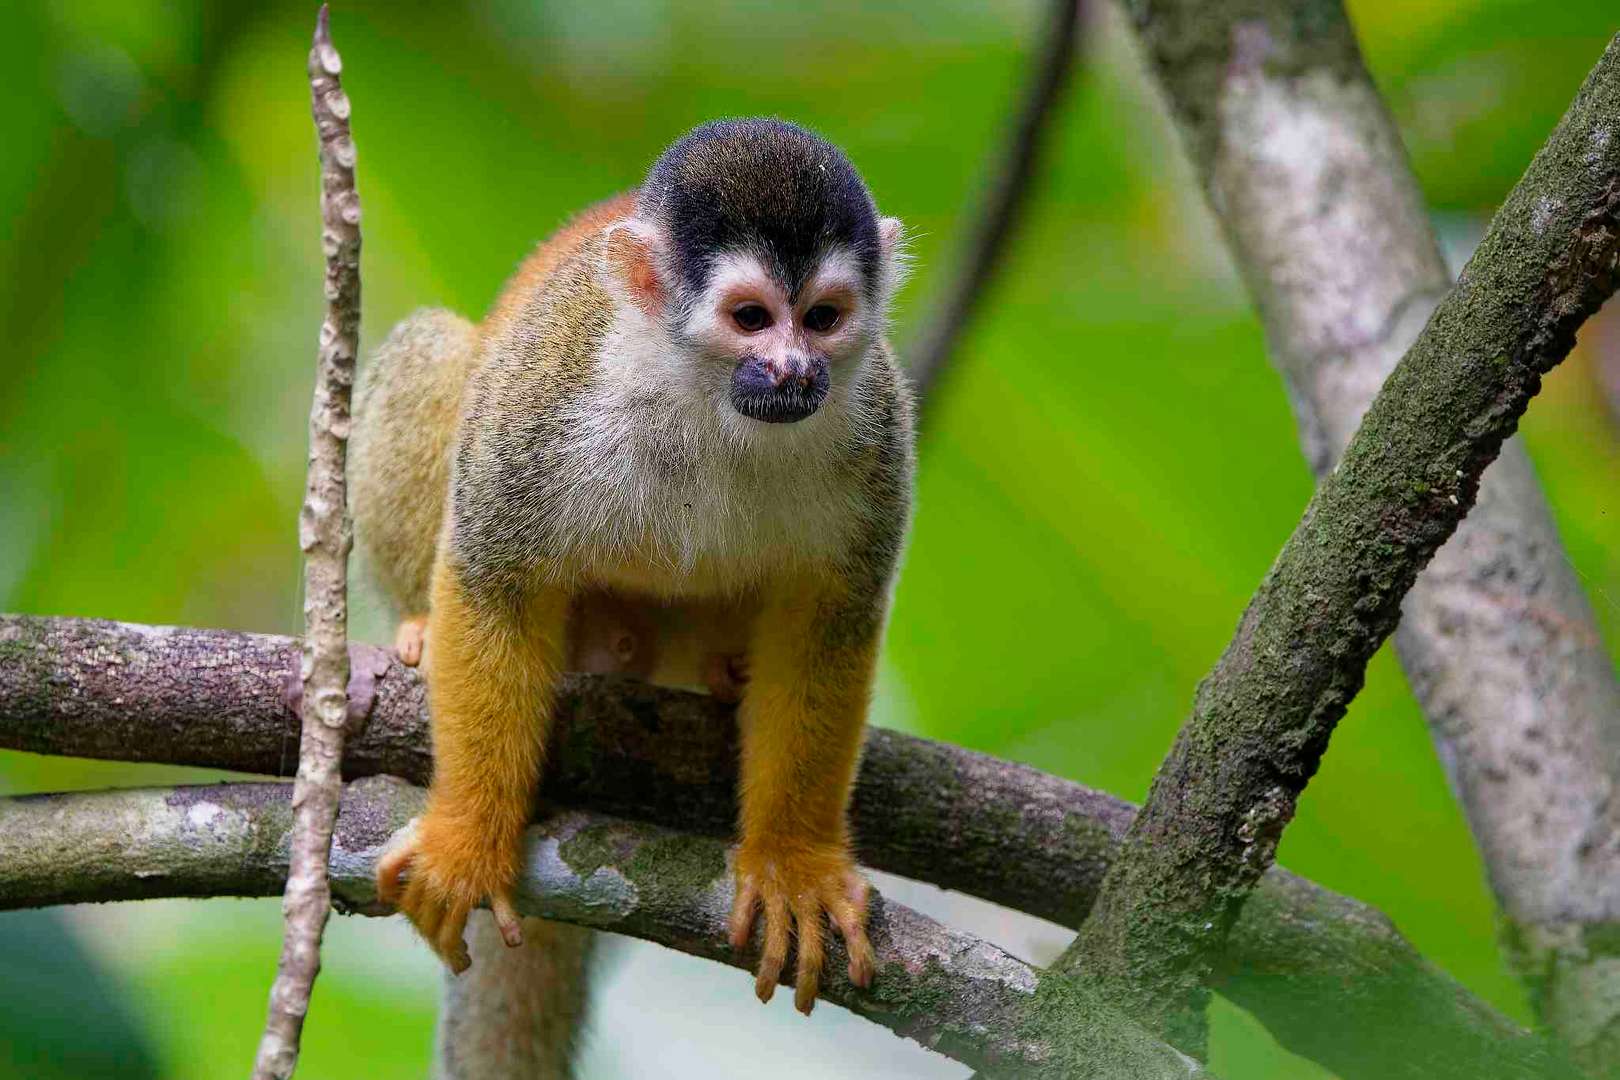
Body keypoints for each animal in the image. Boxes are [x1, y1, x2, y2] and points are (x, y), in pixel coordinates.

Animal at [354, 118, 913, 1016]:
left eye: (823, 317)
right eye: (751, 317)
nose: (794, 369)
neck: (709, 402)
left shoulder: (877, 431)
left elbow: (829, 626)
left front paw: (792, 865)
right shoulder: (550, 390)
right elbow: (496, 579)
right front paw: (468, 837)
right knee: (435, 350)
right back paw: (421, 623)